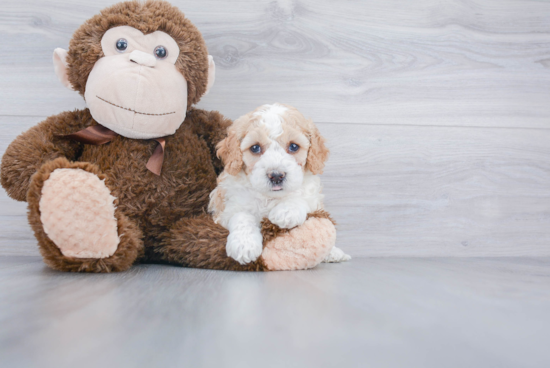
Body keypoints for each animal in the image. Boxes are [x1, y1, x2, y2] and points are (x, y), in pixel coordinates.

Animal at [209, 103, 352, 264]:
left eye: (294, 147)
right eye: (255, 148)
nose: (276, 176)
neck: (270, 198)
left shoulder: (313, 198)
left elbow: (301, 197)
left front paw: (286, 211)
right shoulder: (226, 209)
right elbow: (241, 216)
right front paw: (244, 244)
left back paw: (334, 253)